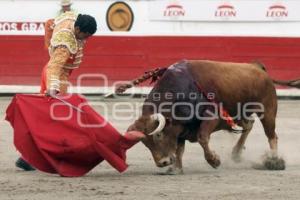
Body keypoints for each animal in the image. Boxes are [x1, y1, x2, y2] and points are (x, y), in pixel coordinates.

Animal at [116, 59, 298, 173]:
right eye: (145, 143)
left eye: (158, 135)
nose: (162, 163)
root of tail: (257, 67)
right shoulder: (181, 127)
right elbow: (179, 148)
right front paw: (175, 169)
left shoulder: (212, 117)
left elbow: (202, 137)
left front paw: (214, 161)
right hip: (240, 113)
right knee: (249, 125)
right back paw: (236, 153)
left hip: (267, 111)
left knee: (271, 135)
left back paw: (273, 161)